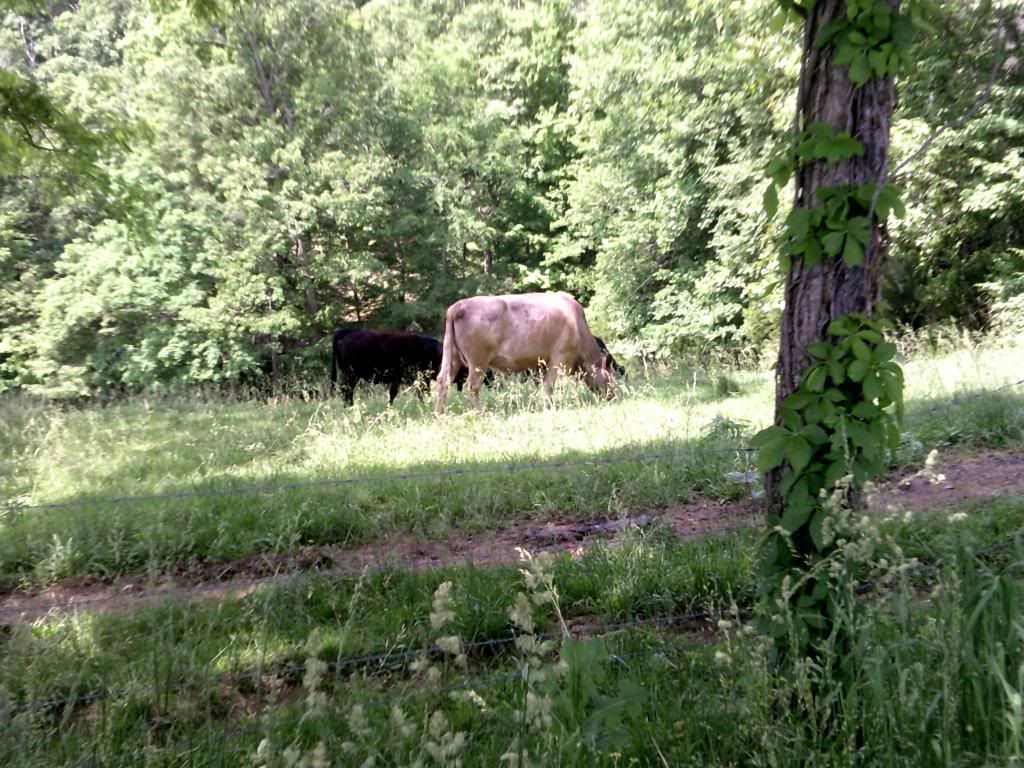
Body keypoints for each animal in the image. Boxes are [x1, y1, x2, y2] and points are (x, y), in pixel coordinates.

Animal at [330, 329, 467, 406]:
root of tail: (348, 332)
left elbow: (394, 394)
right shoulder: (420, 379)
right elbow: (422, 393)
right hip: (352, 376)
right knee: (347, 392)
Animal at [435, 292, 616, 414]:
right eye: (611, 378)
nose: (612, 397)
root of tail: (458, 306)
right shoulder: (559, 358)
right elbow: (549, 386)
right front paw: (549, 407)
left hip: (452, 356)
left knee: (443, 381)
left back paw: (440, 414)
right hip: (478, 362)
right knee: (472, 386)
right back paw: (481, 413)